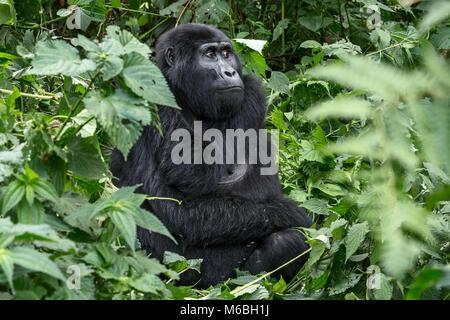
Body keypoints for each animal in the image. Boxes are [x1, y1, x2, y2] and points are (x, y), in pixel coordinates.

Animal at [109, 23, 312, 286]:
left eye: (226, 53)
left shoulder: (252, 91)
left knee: (284, 243)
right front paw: (294, 213)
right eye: (209, 55)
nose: (229, 72)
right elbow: (181, 203)